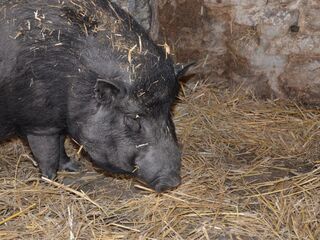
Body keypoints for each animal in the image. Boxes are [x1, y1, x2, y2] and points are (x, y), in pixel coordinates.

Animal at [0, 0, 190, 191]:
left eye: (169, 110)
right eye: (132, 118)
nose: (173, 181)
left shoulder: (60, 121)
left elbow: (61, 145)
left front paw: (74, 167)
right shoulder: (40, 124)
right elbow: (48, 155)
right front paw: (53, 182)